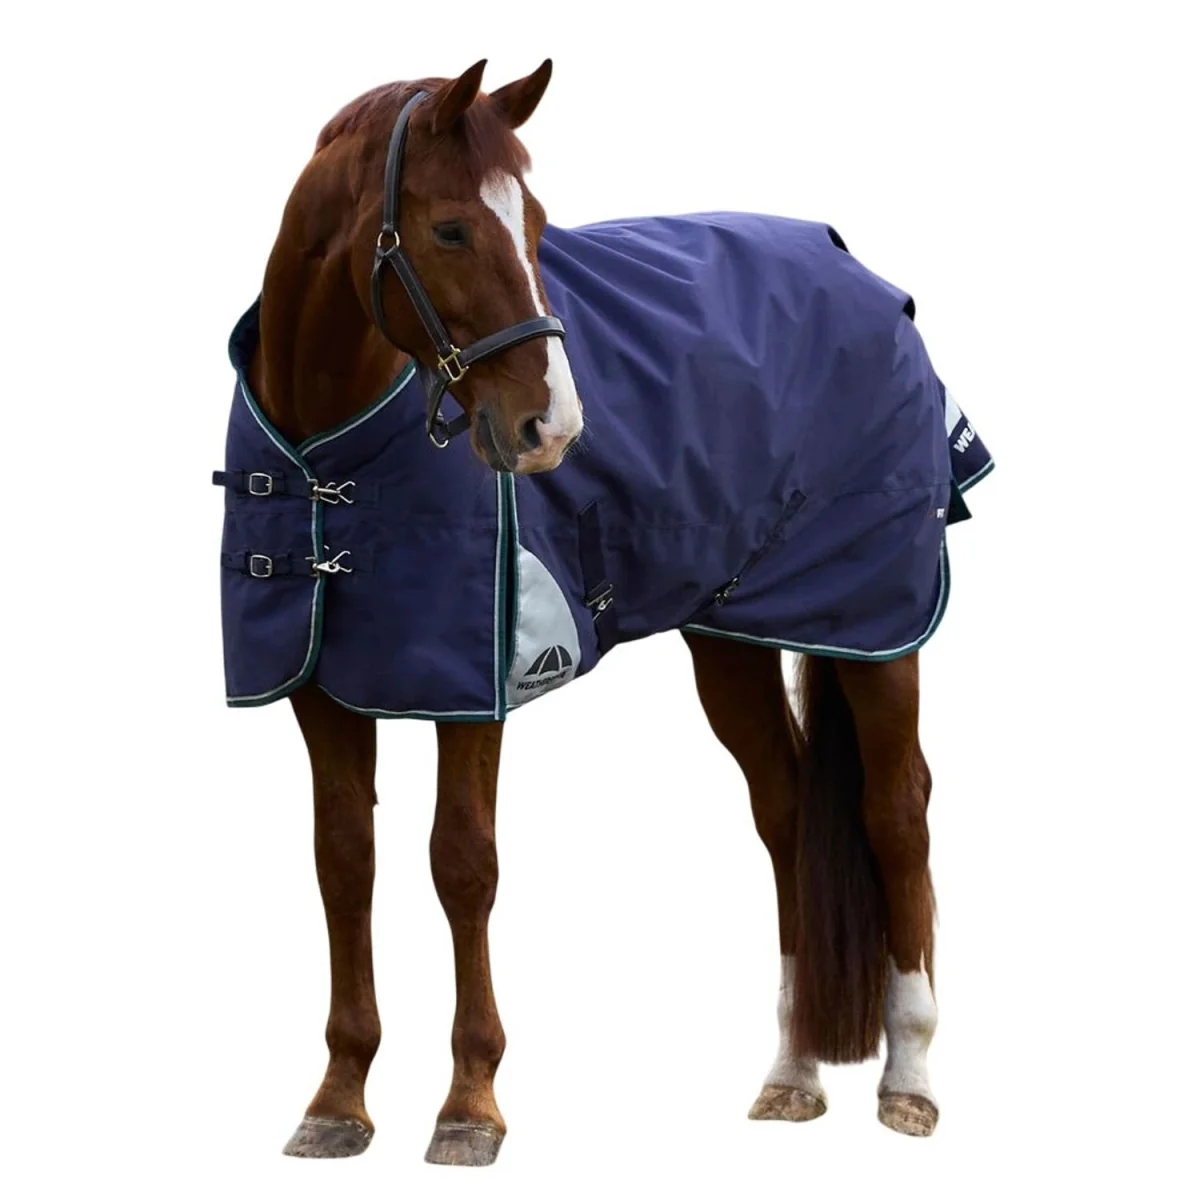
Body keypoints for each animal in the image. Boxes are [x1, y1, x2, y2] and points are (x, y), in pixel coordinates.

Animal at [215, 58, 992, 1165]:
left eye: (538, 226)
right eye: (450, 229)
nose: (551, 427)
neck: (334, 451)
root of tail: (861, 274)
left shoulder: (476, 685)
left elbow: (463, 864)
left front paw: (469, 1106)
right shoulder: (319, 691)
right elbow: (343, 865)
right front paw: (337, 1101)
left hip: (875, 621)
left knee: (897, 813)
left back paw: (911, 1079)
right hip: (731, 637)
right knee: (789, 810)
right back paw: (794, 1072)